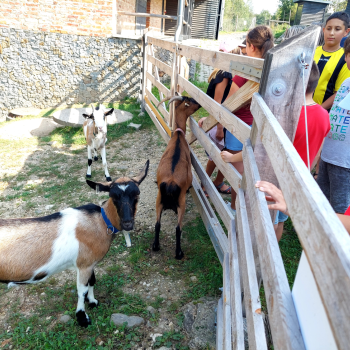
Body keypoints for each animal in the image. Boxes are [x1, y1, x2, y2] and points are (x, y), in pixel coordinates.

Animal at [0, 160, 149, 326]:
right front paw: (82, 317)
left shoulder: (90, 263)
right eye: (113, 195)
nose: (127, 224)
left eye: (137, 193)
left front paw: (93, 302)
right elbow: (82, 290)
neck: (100, 221)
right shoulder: (83, 265)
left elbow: (92, 281)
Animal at [154, 95, 201, 260]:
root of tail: (169, 184)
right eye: (190, 102)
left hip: (158, 201)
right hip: (181, 204)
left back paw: (155, 246)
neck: (179, 135)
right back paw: (179, 253)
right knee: (177, 228)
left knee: (157, 224)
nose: (199, 104)